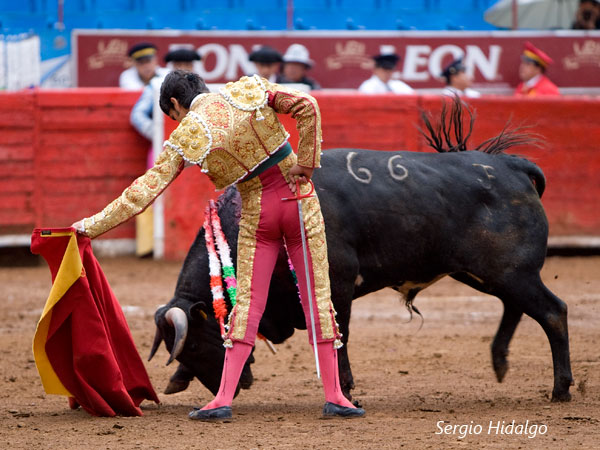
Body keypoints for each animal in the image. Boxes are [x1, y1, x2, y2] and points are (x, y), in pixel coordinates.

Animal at [149, 149, 572, 404]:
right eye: (184, 350)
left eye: (198, 344)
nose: (235, 388)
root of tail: (511, 165)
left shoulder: (336, 283)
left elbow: (338, 336)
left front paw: (345, 392)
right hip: (488, 274)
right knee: (516, 307)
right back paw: (500, 362)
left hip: (511, 272)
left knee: (552, 313)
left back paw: (560, 389)